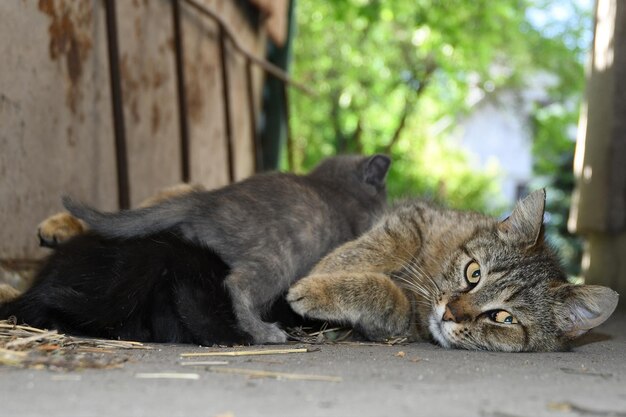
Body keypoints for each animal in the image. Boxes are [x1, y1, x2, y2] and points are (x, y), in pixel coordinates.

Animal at [286, 191, 616, 352]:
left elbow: (384, 293)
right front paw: (327, 267)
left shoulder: (402, 321)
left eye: (503, 318)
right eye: (474, 273)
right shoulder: (415, 217)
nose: (449, 313)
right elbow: (390, 242)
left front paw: (316, 289)